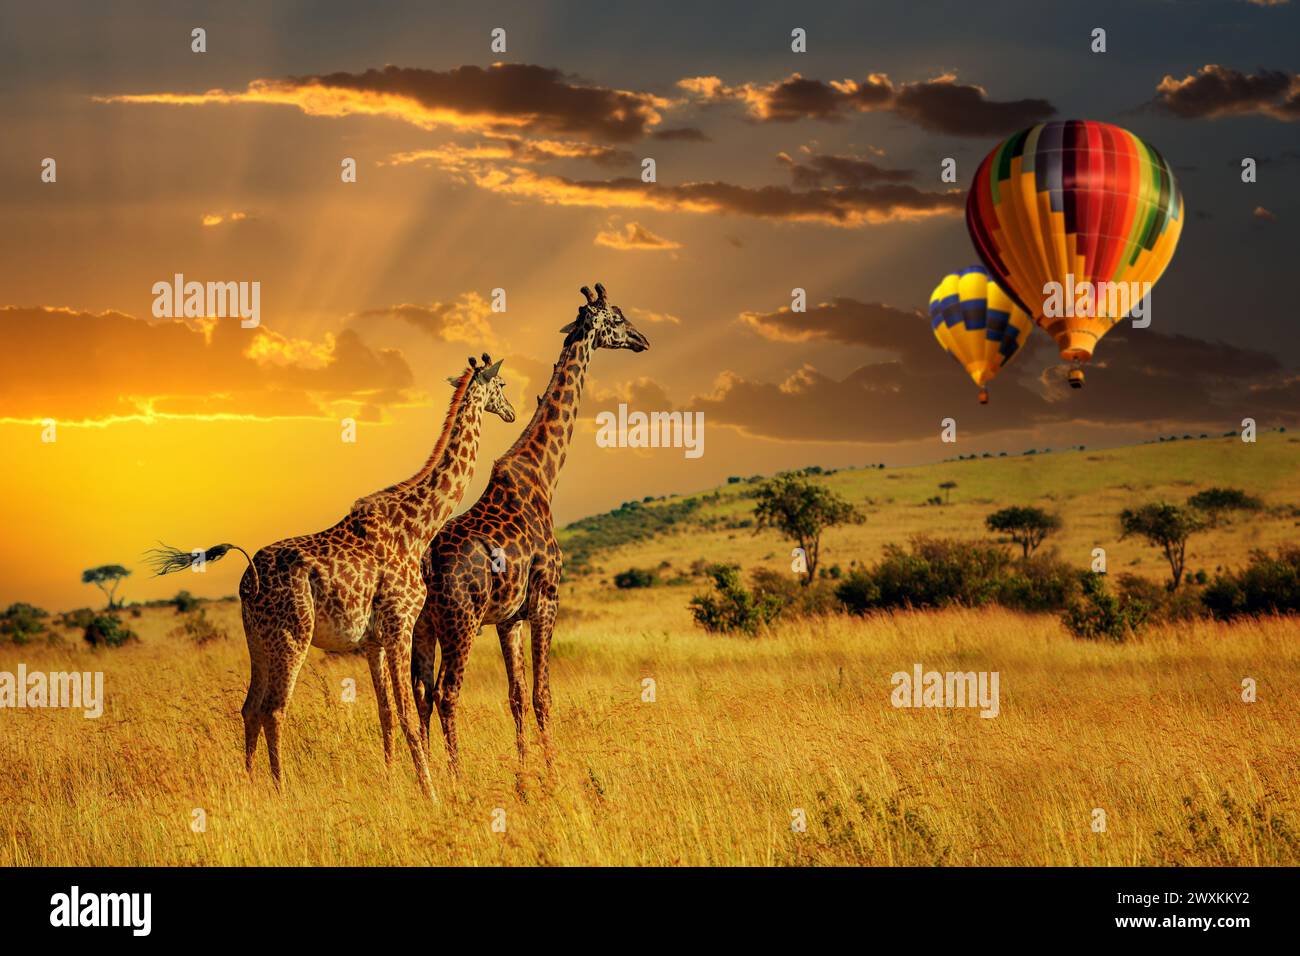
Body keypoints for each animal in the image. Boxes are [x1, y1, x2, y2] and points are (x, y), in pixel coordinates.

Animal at [149, 353, 514, 801]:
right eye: (502, 386)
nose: (511, 412)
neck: (417, 526)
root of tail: (247, 578)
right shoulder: (400, 626)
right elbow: (408, 715)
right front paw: (430, 793)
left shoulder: (373, 640)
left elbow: (385, 713)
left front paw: (391, 781)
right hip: (292, 635)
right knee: (274, 708)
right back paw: (280, 789)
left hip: (258, 641)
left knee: (250, 706)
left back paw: (251, 784)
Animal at [413, 280, 647, 775]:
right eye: (616, 318)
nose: (642, 339)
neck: (544, 473)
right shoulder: (546, 600)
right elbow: (542, 695)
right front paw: (552, 774)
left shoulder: (509, 619)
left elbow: (517, 696)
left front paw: (524, 777)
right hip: (461, 622)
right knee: (447, 694)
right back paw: (457, 778)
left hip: (423, 626)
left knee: (422, 694)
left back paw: (425, 776)